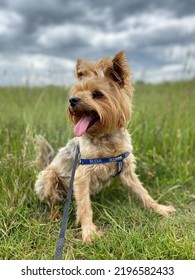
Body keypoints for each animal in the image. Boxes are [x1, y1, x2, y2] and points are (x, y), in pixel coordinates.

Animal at [34, 50, 176, 243]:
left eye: (97, 94)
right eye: (77, 92)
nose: (72, 100)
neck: (105, 137)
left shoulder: (127, 171)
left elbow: (143, 192)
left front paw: (159, 208)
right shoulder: (81, 176)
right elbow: (85, 207)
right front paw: (89, 232)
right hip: (48, 177)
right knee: (52, 202)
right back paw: (55, 215)